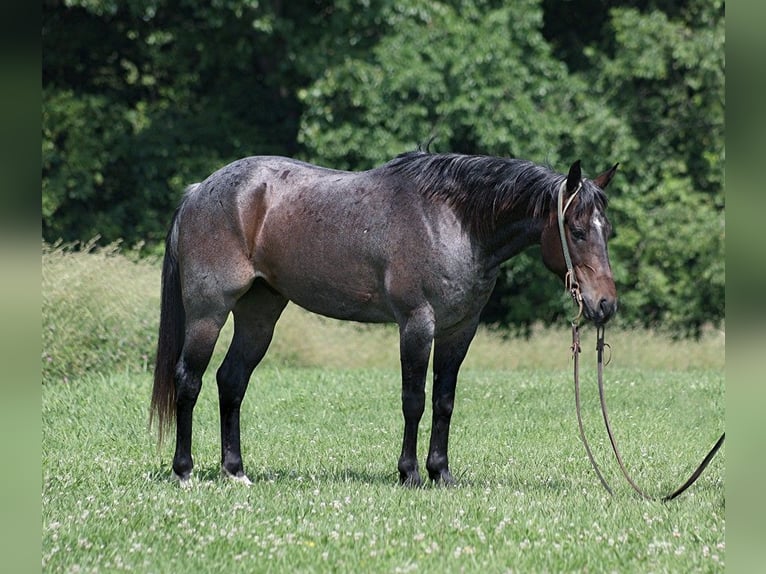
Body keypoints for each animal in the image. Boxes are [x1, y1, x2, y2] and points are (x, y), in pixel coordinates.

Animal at [150, 151, 619, 486]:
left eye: (607, 230)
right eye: (577, 231)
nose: (606, 305)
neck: (452, 222)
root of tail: (199, 190)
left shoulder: (459, 330)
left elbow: (444, 401)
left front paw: (440, 472)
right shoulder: (417, 324)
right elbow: (414, 401)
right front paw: (409, 473)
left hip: (259, 314)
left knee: (231, 381)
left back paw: (236, 471)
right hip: (209, 312)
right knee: (188, 380)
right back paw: (184, 471)